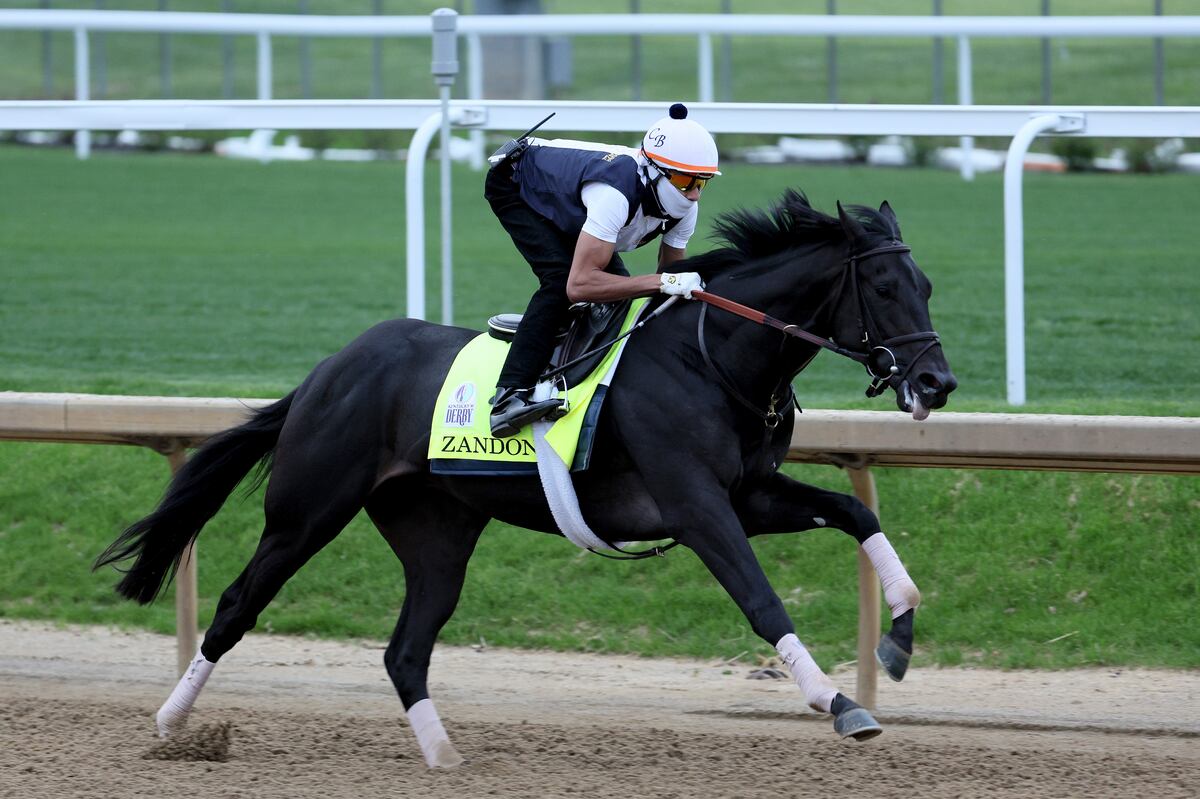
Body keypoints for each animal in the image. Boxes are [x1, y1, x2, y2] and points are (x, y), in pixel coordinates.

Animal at [95, 190, 957, 768]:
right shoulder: (695, 504)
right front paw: (838, 700)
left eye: (928, 287)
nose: (937, 383)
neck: (711, 358)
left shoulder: (748, 493)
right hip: (307, 510)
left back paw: (444, 755)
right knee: (238, 605)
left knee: (406, 649)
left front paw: (900, 633)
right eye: (886, 288)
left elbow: (854, 510)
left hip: (436, 531)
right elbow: (760, 596)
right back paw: (171, 724)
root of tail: (327, 370)